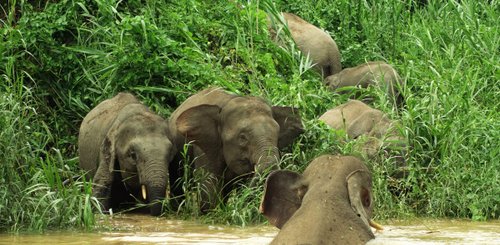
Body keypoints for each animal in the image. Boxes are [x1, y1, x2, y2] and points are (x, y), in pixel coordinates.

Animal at [169, 87, 304, 212]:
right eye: (243, 137)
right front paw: (212, 213)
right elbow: (208, 180)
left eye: (277, 134)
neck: (228, 101)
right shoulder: (204, 145)